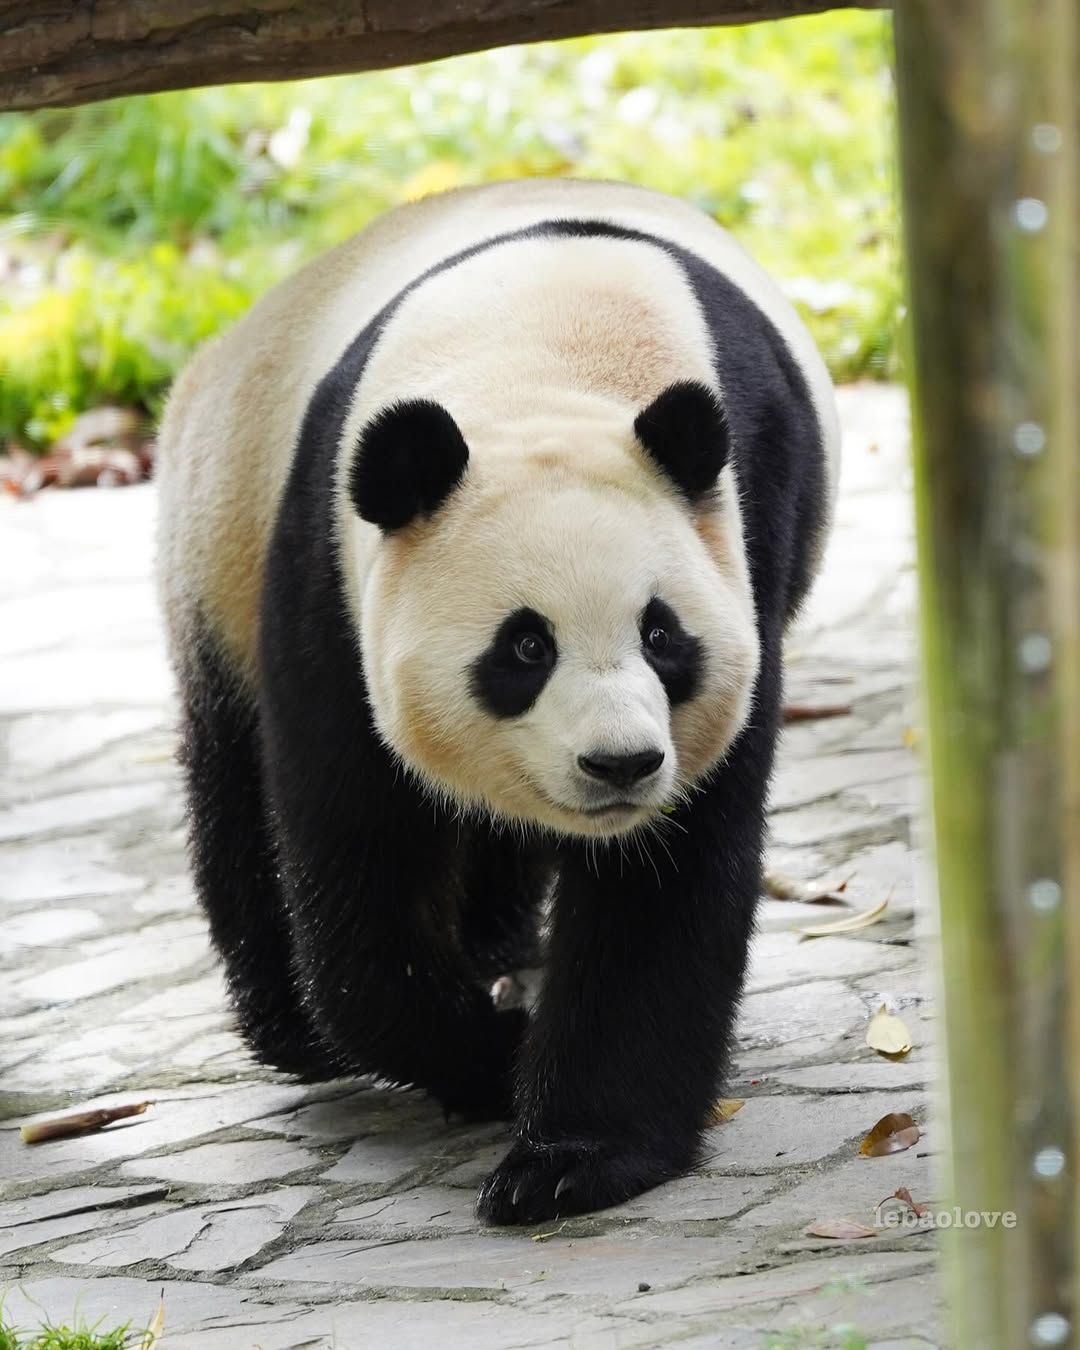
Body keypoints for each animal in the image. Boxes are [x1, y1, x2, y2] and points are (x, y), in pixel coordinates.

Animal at [155, 176, 837, 1225]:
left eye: (662, 636)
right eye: (525, 647)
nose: (621, 765)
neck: (545, 353)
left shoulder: (745, 522)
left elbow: (667, 878)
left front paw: (572, 1157)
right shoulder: (329, 563)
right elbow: (357, 862)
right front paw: (490, 1057)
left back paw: (492, 942)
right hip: (214, 547)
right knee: (232, 793)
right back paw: (296, 1025)